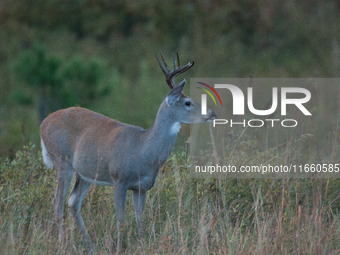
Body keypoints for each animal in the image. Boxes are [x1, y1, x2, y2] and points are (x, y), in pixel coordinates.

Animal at [39, 52, 215, 252]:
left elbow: (140, 220)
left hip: (85, 174)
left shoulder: (141, 187)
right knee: (58, 202)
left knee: (73, 202)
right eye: (187, 102)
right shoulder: (119, 179)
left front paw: (143, 246)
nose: (212, 113)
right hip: (62, 159)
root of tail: (43, 124)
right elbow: (121, 220)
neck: (143, 150)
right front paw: (118, 249)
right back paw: (63, 243)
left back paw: (91, 246)